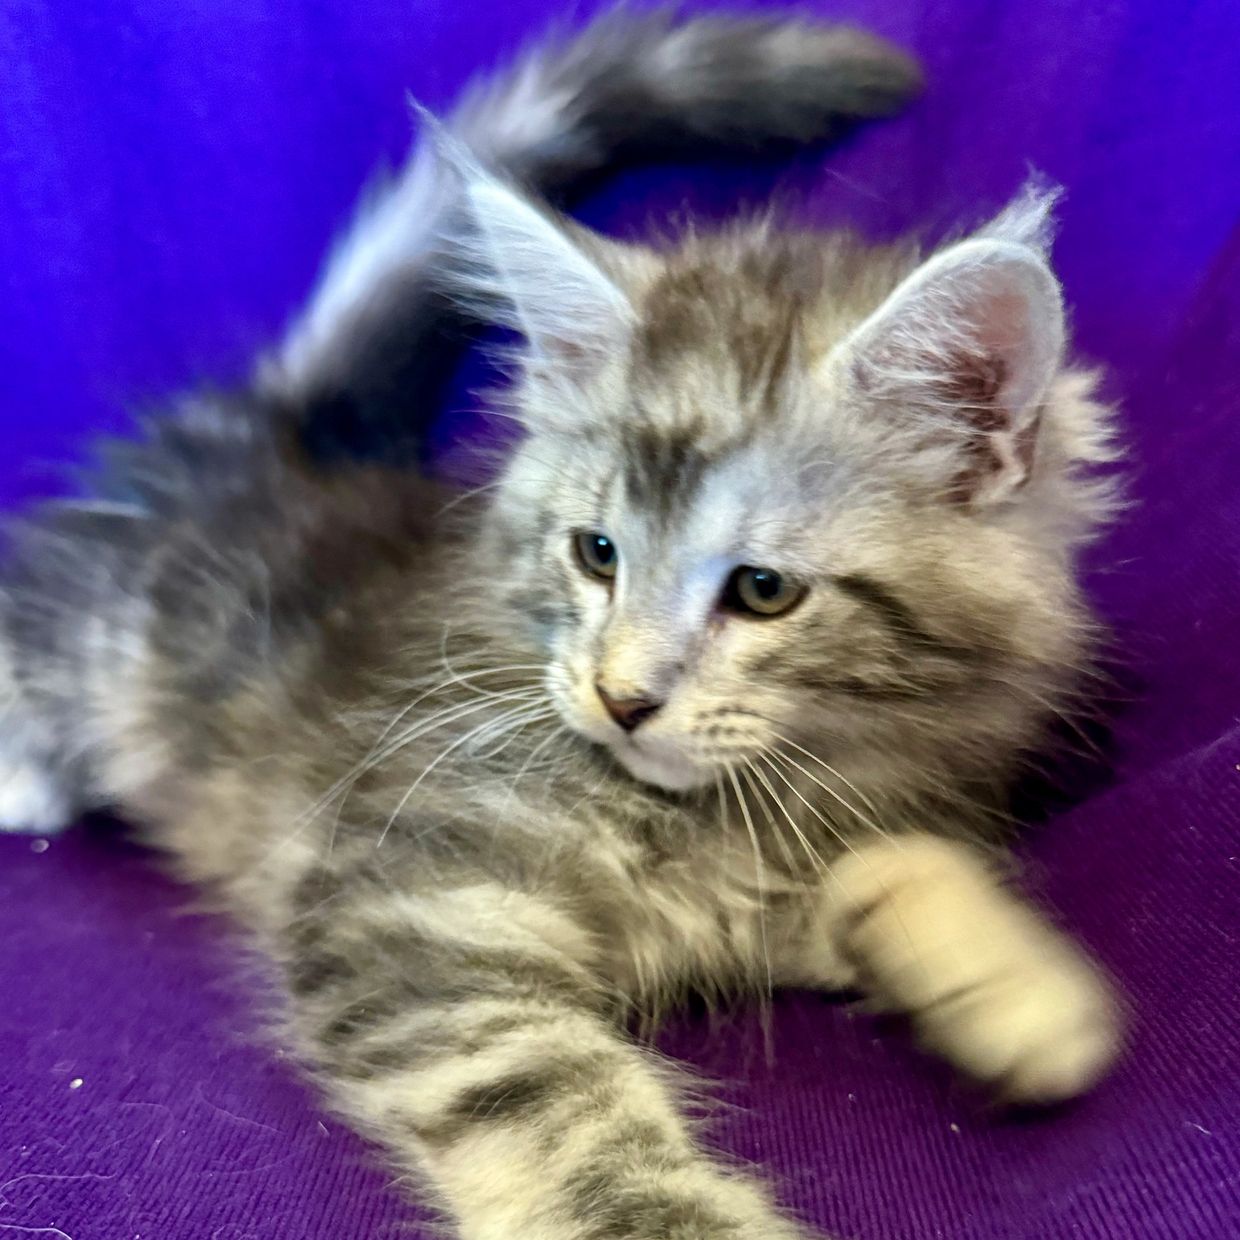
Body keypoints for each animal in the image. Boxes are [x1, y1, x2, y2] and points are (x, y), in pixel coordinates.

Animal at [0, 9, 1121, 1239]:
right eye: (597, 554)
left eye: (762, 591)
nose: (621, 699)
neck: (706, 819)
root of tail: (277, 436)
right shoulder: (413, 909)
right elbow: (554, 1102)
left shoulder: (773, 879)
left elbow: (902, 861)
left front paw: (1019, 987)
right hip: (113, 619)